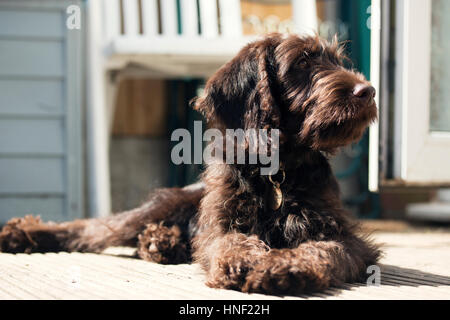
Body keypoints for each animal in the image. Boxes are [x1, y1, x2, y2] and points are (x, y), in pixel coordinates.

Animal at [0, 33, 380, 296]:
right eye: (302, 62)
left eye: (336, 60)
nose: (368, 91)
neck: (278, 171)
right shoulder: (220, 225)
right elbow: (228, 242)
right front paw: (242, 260)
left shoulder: (345, 238)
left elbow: (324, 250)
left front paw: (283, 267)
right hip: (159, 206)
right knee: (91, 229)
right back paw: (23, 233)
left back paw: (160, 241)